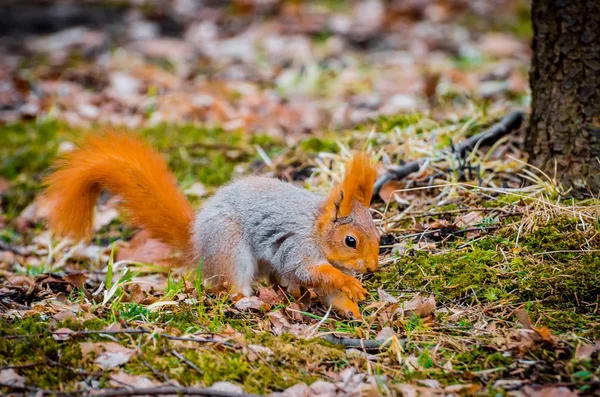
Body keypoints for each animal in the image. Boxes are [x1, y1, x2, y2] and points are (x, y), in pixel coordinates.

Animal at [43, 131, 380, 318]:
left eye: (378, 232)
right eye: (350, 240)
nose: (372, 267)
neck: (317, 229)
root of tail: (196, 241)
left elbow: (329, 290)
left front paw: (353, 311)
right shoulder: (299, 247)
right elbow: (310, 270)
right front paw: (349, 284)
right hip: (228, 246)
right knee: (230, 286)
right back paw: (250, 299)